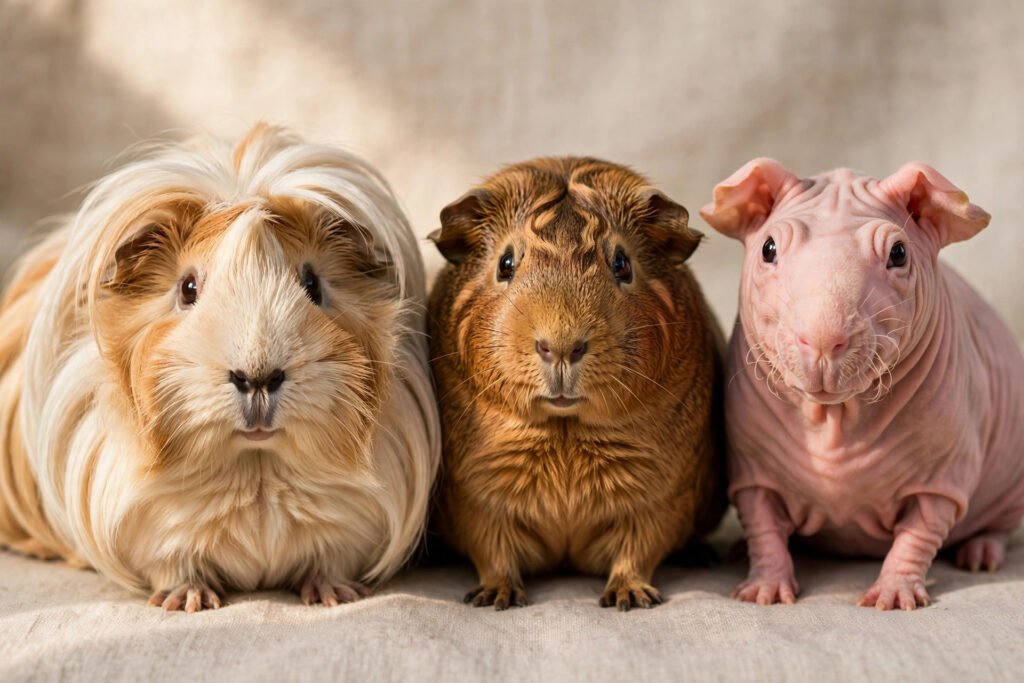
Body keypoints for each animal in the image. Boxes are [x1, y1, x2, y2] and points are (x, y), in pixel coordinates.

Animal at [700, 158, 1024, 610]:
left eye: (899, 253)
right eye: (768, 249)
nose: (822, 340)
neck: (834, 417)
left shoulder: (943, 478)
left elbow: (919, 534)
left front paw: (894, 590)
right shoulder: (752, 472)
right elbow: (762, 524)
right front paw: (765, 585)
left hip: (1012, 483)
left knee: (998, 525)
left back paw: (982, 551)